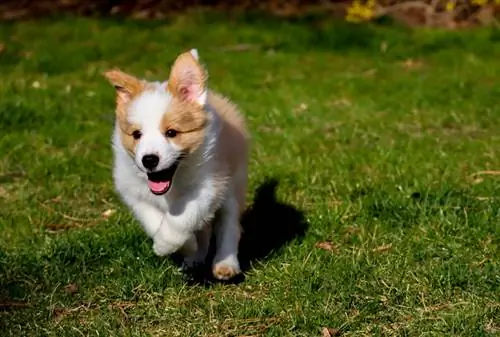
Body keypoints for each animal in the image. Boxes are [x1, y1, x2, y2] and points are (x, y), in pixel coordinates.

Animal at [104, 48, 250, 278]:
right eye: (136, 135)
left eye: (172, 133)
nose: (149, 160)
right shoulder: (134, 192)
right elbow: (153, 220)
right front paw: (186, 246)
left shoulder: (208, 186)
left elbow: (181, 218)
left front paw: (165, 244)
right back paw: (195, 257)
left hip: (233, 185)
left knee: (229, 226)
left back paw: (225, 264)